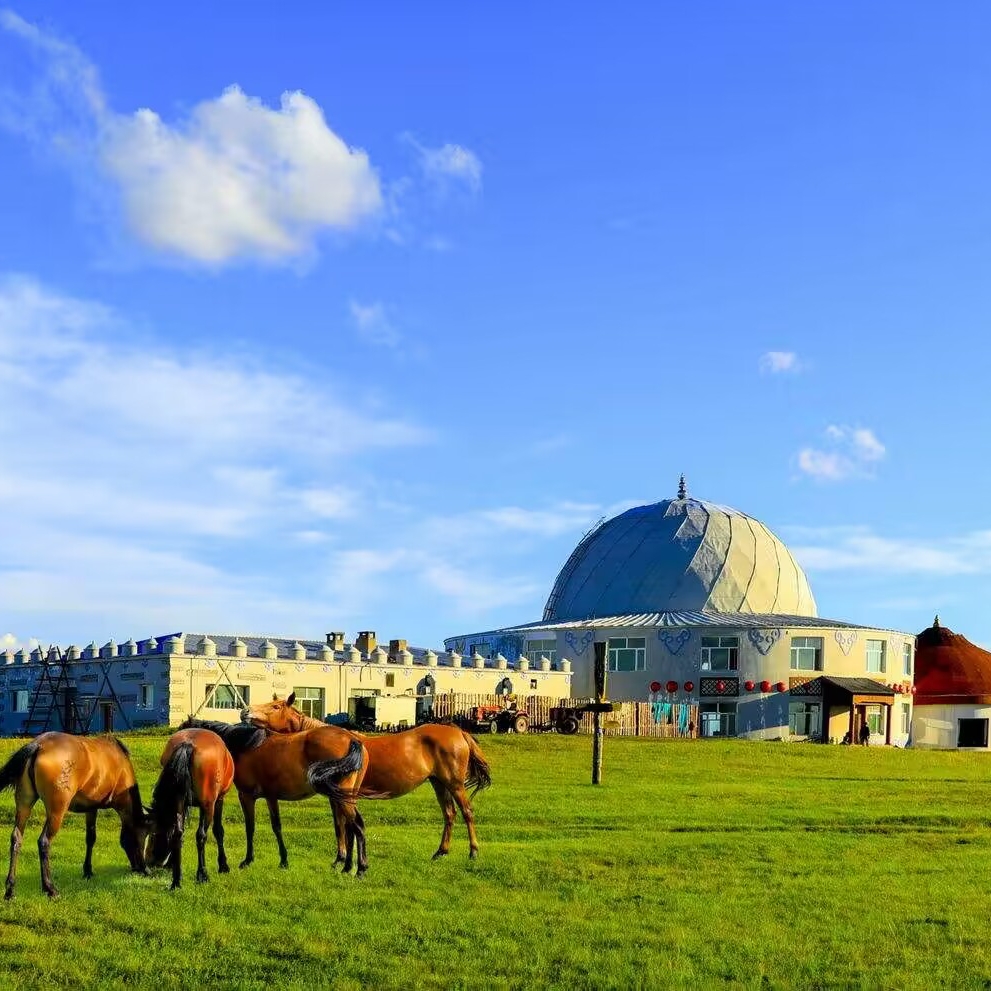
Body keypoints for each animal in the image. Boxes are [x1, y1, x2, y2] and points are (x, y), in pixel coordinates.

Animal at [0, 728, 149, 900]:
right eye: (143, 837)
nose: (144, 869)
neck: (121, 766)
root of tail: (38, 745)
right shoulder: (119, 805)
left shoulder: (91, 808)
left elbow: (90, 838)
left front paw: (88, 870)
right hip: (57, 811)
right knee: (44, 841)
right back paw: (50, 888)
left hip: (24, 803)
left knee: (16, 838)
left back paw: (10, 889)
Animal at [143, 728, 234, 892]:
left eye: (152, 834)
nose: (150, 861)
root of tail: (188, 744)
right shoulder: (218, 800)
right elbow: (218, 831)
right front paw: (223, 865)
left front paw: (172, 864)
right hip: (208, 805)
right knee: (201, 835)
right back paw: (202, 874)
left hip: (178, 800)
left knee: (177, 834)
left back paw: (176, 881)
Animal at [176, 720, 370, 876]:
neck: (245, 745)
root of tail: (352, 739)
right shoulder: (271, 797)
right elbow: (277, 827)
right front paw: (283, 860)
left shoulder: (246, 796)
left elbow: (250, 828)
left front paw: (248, 860)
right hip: (344, 796)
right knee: (350, 827)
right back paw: (347, 867)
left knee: (357, 825)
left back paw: (360, 868)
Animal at [244, 688, 492, 868]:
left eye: (275, 706)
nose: (246, 712)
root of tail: (458, 731)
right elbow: (340, 824)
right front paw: (342, 858)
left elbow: (342, 825)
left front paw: (341, 859)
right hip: (439, 783)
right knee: (449, 814)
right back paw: (441, 852)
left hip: (454, 784)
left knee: (467, 812)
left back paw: (473, 852)